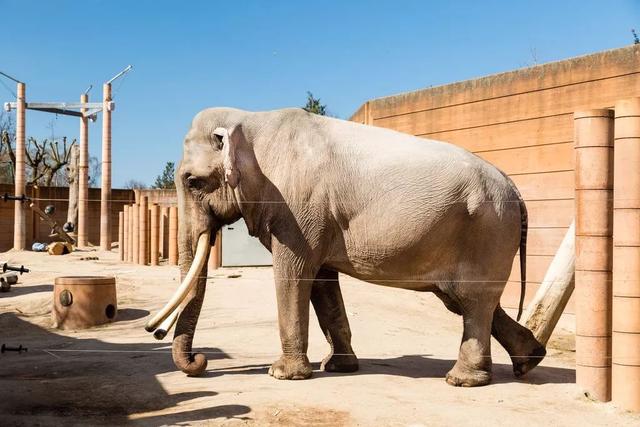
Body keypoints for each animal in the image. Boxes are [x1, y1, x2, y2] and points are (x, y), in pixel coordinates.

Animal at [144, 107, 544, 388]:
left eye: (193, 182)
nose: (200, 360)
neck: (250, 118)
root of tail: (514, 189)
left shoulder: (297, 208)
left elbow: (292, 275)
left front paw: (282, 374)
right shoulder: (315, 221)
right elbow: (323, 284)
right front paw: (338, 367)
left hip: (486, 233)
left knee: (473, 302)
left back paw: (462, 380)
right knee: (468, 302)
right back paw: (529, 360)